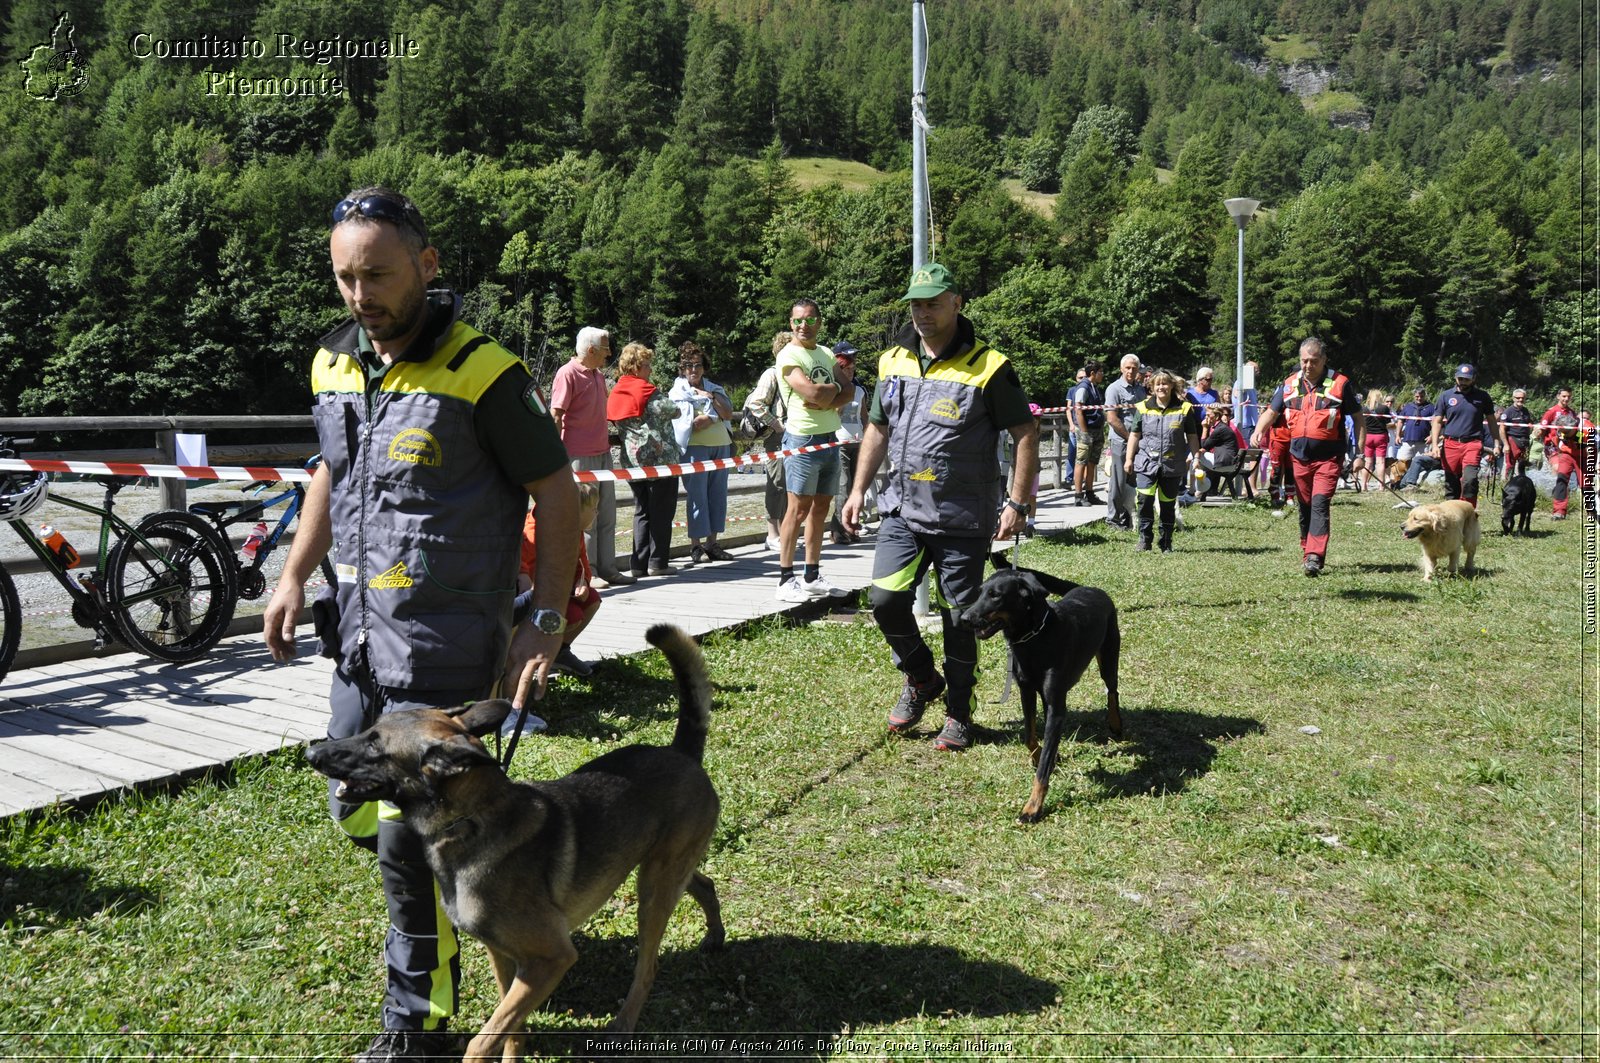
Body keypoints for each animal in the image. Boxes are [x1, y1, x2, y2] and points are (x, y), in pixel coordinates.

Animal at [960, 560, 1126, 826]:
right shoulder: (1026, 691)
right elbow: (1030, 736)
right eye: (980, 592)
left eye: (996, 595)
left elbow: (1042, 772)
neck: (1034, 639)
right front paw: (1038, 758)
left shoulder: (1057, 707)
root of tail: (1091, 588)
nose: (964, 618)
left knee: (1113, 690)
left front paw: (1032, 808)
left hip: (1109, 655)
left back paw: (1116, 723)